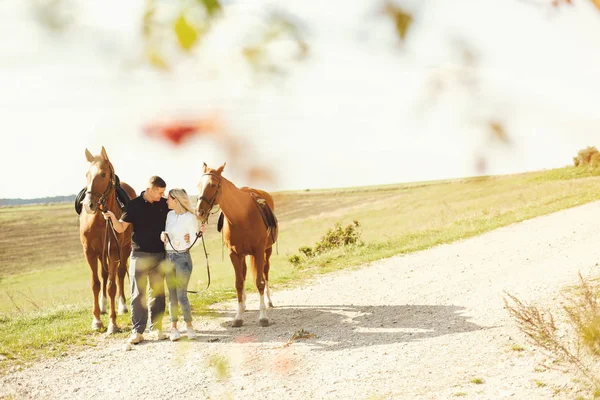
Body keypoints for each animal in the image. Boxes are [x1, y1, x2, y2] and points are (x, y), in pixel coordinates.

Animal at [79, 148, 135, 332]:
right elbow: (95, 284)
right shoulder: (89, 252)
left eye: (103, 174)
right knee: (103, 276)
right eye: (87, 174)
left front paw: (112, 323)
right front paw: (96, 320)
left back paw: (122, 305)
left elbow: (112, 285)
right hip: (101, 253)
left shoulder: (114, 251)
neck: (99, 220)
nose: (88, 204)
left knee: (120, 274)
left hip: (124, 250)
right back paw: (103, 306)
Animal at [196, 163, 278, 328]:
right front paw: (238, 316)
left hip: (267, 251)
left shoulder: (258, 252)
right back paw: (244, 305)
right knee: (245, 274)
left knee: (265, 273)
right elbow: (239, 283)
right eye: (198, 185)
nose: (199, 211)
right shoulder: (234, 254)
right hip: (243, 255)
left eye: (212, 185)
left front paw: (263, 317)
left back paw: (269, 301)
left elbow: (259, 282)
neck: (241, 217)